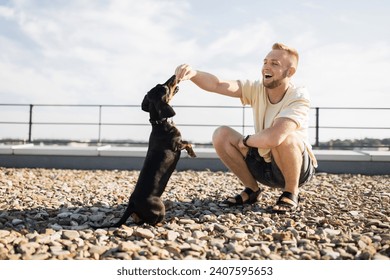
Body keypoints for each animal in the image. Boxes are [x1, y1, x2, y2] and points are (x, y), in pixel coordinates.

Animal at [91, 75, 195, 230]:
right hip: (160, 207)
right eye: (164, 87)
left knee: (140, 221)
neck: (159, 123)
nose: (174, 76)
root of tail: (132, 204)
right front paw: (192, 153)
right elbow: (187, 142)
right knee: (152, 222)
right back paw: (167, 221)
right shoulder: (176, 145)